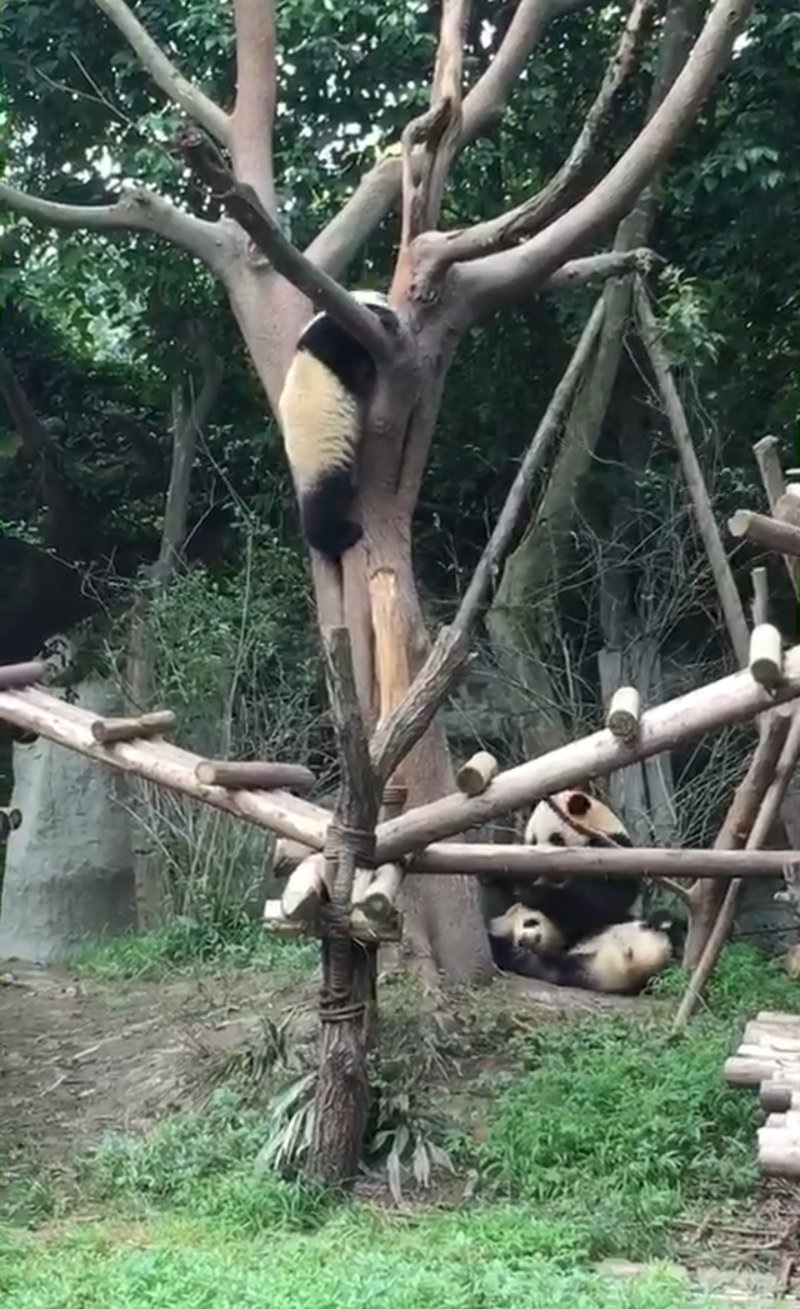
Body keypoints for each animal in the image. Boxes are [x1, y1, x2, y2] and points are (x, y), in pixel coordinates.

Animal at [277, 290, 398, 560]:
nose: (387, 304)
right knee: (325, 501)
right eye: (379, 301)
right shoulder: (331, 340)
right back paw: (342, 535)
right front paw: (387, 319)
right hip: (322, 455)